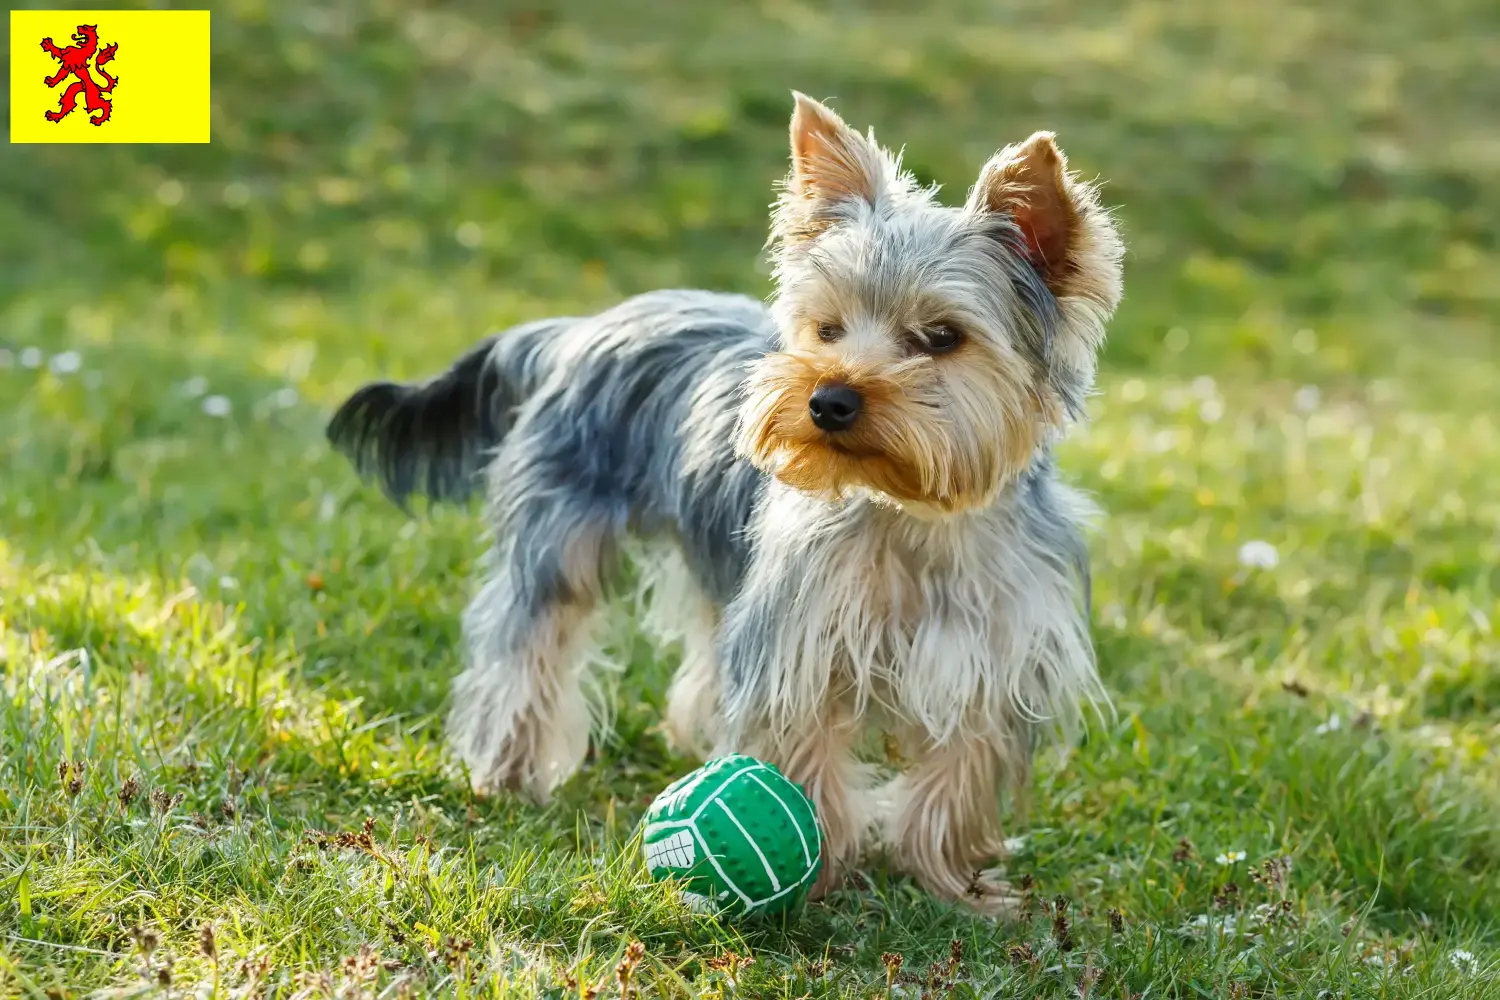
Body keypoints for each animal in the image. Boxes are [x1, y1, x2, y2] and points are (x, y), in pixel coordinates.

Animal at [331, 93, 1128, 917]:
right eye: (827, 328)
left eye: (941, 337)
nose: (828, 400)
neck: (911, 513)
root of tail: (577, 329)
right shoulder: (799, 641)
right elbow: (802, 752)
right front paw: (820, 880)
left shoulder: (990, 653)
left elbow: (958, 773)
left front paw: (952, 884)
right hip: (558, 536)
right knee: (528, 639)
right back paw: (509, 771)